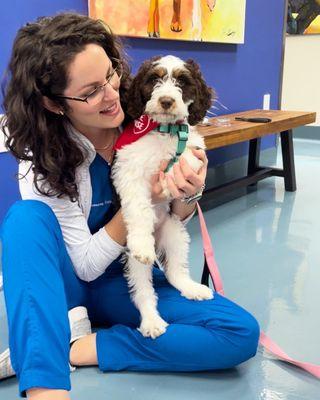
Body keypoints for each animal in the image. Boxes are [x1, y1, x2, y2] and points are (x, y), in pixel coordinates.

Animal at [112, 55, 215, 338]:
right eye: (154, 79)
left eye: (182, 81)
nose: (167, 100)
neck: (167, 131)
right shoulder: (129, 169)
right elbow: (139, 208)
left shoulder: (194, 149)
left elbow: (185, 160)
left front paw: (170, 181)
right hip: (134, 260)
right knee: (143, 291)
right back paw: (151, 321)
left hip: (175, 233)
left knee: (174, 271)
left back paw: (193, 288)